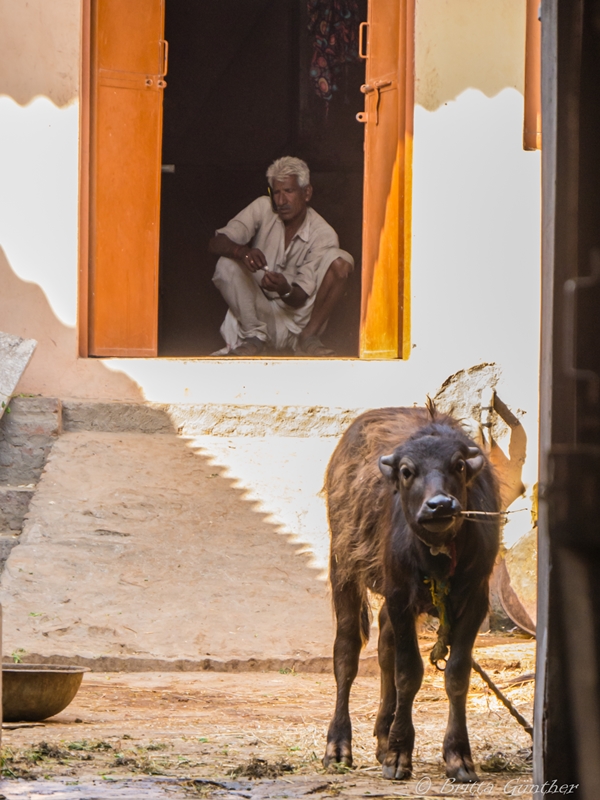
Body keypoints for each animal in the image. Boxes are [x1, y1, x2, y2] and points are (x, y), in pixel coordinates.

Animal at [324, 406, 502, 780]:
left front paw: (458, 757)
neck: (438, 555)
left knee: (384, 644)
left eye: (458, 465)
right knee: (346, 652)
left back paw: (382, 735)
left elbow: (457, 675)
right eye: (407, 471)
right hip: (343, 567)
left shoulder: (475, 601)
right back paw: (339, 747)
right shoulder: (400, 598)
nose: (440, 505)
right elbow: (409, 673)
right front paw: (399, 755)